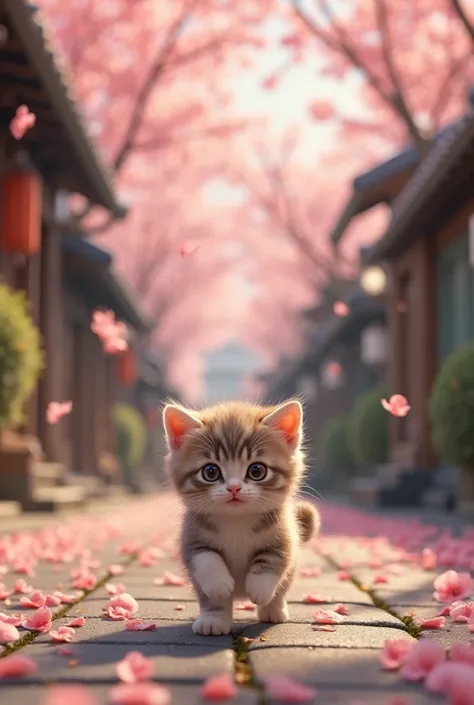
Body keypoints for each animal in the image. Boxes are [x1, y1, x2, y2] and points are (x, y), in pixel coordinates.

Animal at [161, 398, 320, 636]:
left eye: (256, 470)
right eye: (210, 472)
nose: (234, 487)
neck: (236, 521)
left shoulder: (285, 536)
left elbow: (272, 560)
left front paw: (259, 588)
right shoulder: (191, 537)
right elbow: (205, 559)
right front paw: (218, 583)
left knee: (281, 587)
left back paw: (273, 610)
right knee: (211, 600)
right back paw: (214, 620)